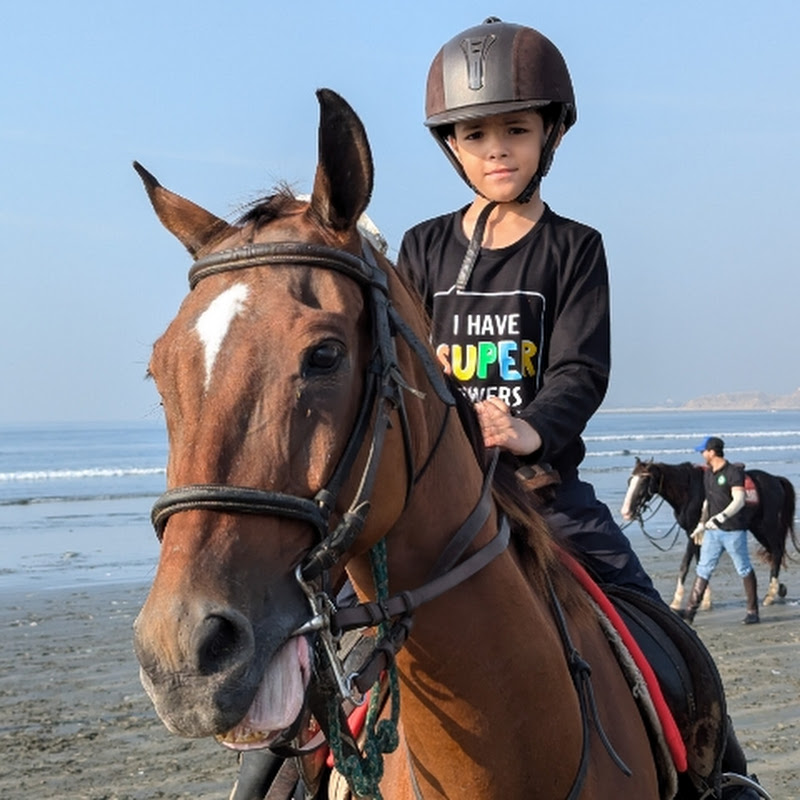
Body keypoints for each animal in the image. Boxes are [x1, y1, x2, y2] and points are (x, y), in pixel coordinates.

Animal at [621, 458, 798, 610]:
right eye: (630, 481)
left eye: (644, 481)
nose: (626, 512)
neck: (688, 491)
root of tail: (776, 480)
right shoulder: (694, 535)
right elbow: (698, 563)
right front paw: (702, 600)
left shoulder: (693, 533)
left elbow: (686, 566)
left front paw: (679, 602)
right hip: (758, 528)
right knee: (773, 552)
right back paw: (779, 589)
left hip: (767, 526)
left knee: (777, 551)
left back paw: (770, 595)